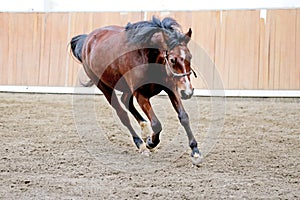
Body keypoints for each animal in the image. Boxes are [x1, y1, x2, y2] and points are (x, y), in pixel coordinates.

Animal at [70, 16, 202, 164]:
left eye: (190, 57)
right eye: (173, 59)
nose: (187, 92)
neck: (146, 56)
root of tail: (87, 40)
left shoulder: (171, 88)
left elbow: (183, 117)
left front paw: (195, 150)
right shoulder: (140, 94)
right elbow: (156, 124)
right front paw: (151, 142)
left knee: (126, 101)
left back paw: (144, 130)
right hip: (105, 88)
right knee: (123, 115)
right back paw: (141, 144)